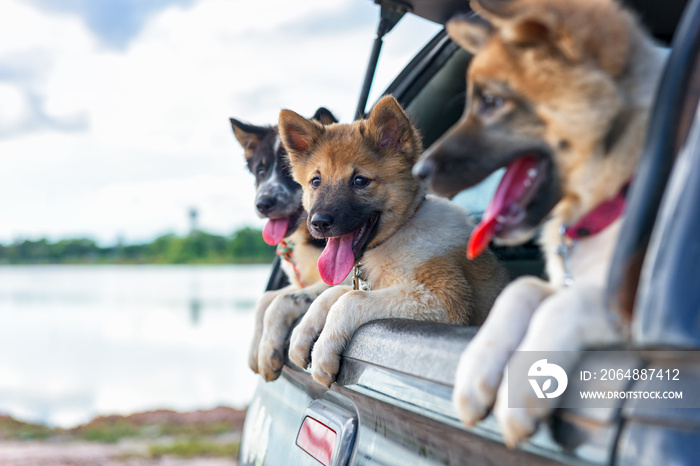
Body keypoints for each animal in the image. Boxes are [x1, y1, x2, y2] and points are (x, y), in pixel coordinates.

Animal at [231, 106, 340, 382]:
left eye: (289, 172)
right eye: (260, 172)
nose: (262, 204)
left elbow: (280, 301)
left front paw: (266, 353)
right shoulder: (299, 281)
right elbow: (265, 300)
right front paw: (256, 349)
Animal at [278, 93, 508, 386]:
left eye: (360, 181)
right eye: (315, 181)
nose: (318, 223)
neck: (401, 231)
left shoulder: (444, 300)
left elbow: (350, 300)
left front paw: (323, 354)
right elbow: (334, 293)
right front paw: (302, 334)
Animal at [412, 0, 668, 446]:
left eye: (491, 101)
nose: (418, 171)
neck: (613, 193)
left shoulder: (634, 309)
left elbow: (569, 302)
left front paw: (519, 392)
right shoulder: (558, 279)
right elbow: (524, 289)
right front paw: (478, 369)